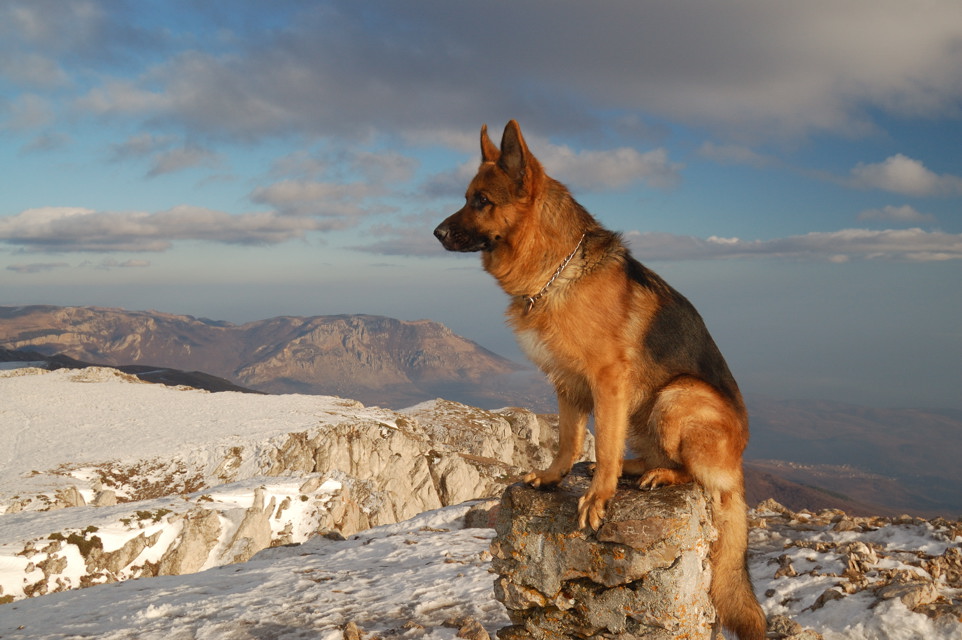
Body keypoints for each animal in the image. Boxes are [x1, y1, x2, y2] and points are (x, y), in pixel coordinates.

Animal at [436, 121, 764, 640]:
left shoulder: (607, 380)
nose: (436, 232)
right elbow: (571, 439)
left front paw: (597, 496)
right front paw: (554, 477)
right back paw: (639, 467)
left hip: (677, 396)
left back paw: (658, 474)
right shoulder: (567, 383)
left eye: (481, 201)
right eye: (467, 198)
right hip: (646, 412)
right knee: (652, 453)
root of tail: (738, 461)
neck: (555, 268)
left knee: (696, 476)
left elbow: (604, 443)